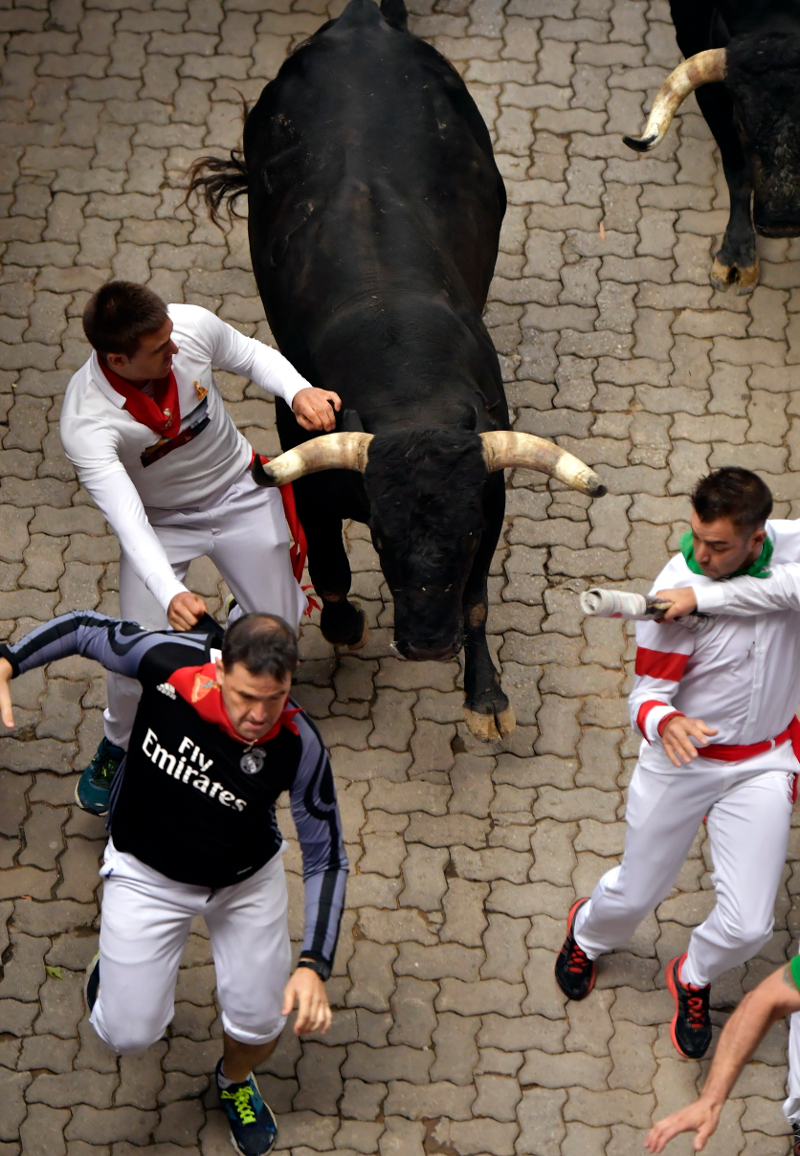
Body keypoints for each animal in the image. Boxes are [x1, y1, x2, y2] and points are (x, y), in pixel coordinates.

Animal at [190, 0, 601, 744]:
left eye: (463, 535)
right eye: (382, 535)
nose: (429, 645)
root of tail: (361, 22)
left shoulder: (488, 499)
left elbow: (475, 600)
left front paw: (485, 696)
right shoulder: (309, 475)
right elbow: (329, 565)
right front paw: (344, 624)